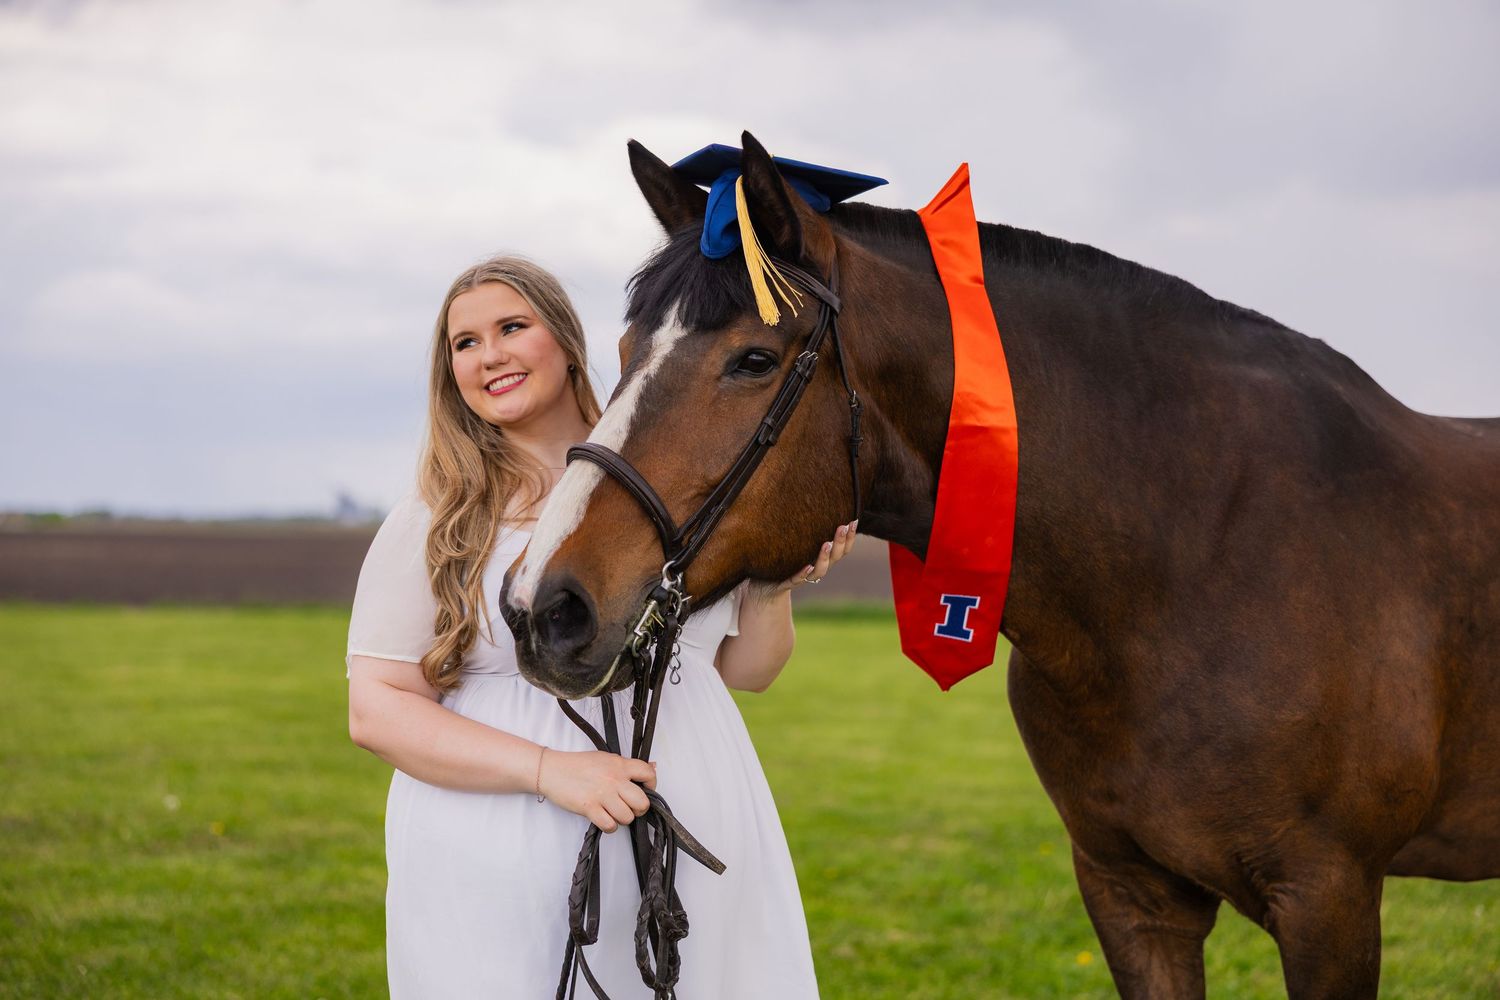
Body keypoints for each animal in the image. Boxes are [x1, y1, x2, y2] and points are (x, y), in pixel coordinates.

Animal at [502, 131, 1500, 999]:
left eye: (754, 358)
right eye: (624, 352)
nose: (544, 607)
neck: (1194, 556)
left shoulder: (1330, 900)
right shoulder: (1132, 896)